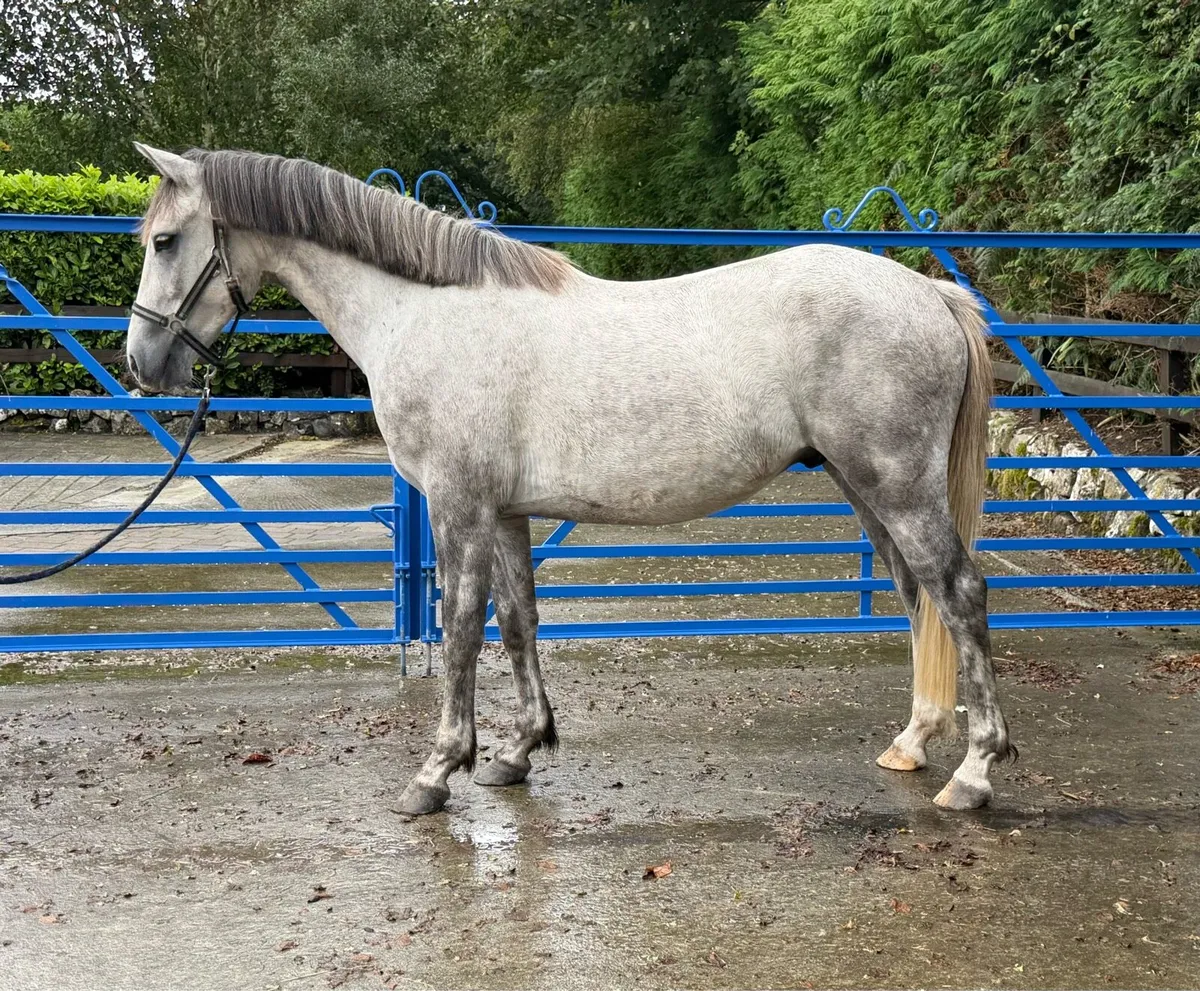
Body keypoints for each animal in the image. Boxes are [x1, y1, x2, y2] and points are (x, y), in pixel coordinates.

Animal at [126, 143, 1013, 816]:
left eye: (165, 240)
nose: (141, 363)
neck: (427, 312)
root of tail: (928, 292)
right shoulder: (507, 510)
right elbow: (518, 623)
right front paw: (517, 751)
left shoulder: (458, 503)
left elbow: (459, 629)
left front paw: (436, 770)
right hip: (868, 489)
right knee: (918, 596)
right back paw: (912, 743)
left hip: (897, 485)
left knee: (959, 591)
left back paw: (973, 773)